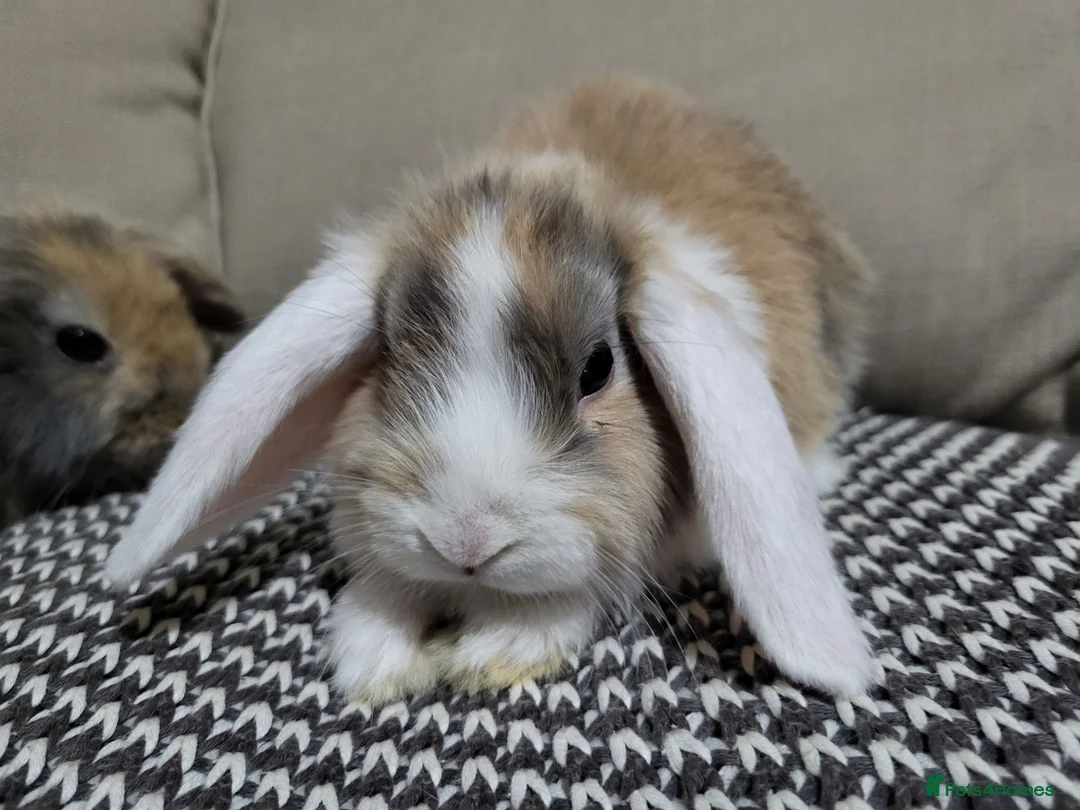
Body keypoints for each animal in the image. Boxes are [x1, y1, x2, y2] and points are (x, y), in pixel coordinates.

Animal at [104, 75, 877, 704]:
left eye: (598, 368)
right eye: (390, 351)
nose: (465, 542)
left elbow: (586, 588)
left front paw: (498, 648)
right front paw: (375, 657)